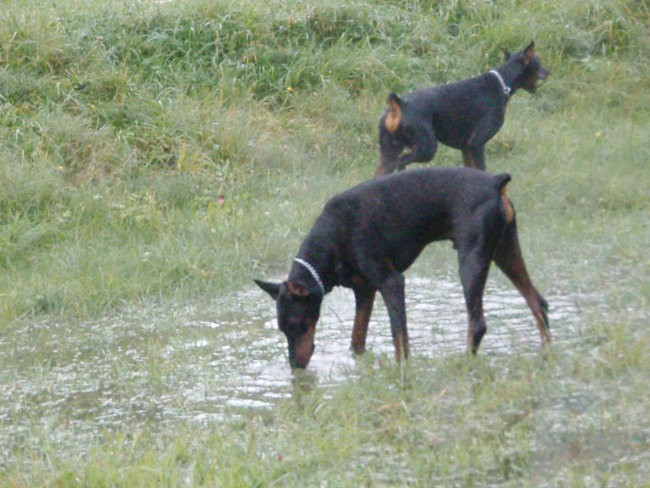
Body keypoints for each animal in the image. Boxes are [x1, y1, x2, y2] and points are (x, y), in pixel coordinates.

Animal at [253, 168, 548, 370]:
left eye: (299, 324)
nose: (295, 366)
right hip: (505, 249)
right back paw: (547, 352)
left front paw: (401, 371)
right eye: (282, 328)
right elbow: (357, 341)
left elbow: (399, 338)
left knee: (477, 324)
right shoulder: (365, 290)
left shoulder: (391, 282)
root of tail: (496, 181)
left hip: (472, 259)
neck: (331, 238)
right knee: (538, 302)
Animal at [374, 42, 548, 175]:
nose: (549, 72)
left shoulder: (466, 149)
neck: (502, 83)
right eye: (538, 63)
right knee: (402, 161)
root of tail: (399, 104)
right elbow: (482, 169)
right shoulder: (476, 144)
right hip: (426, 149)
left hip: (388, 154)